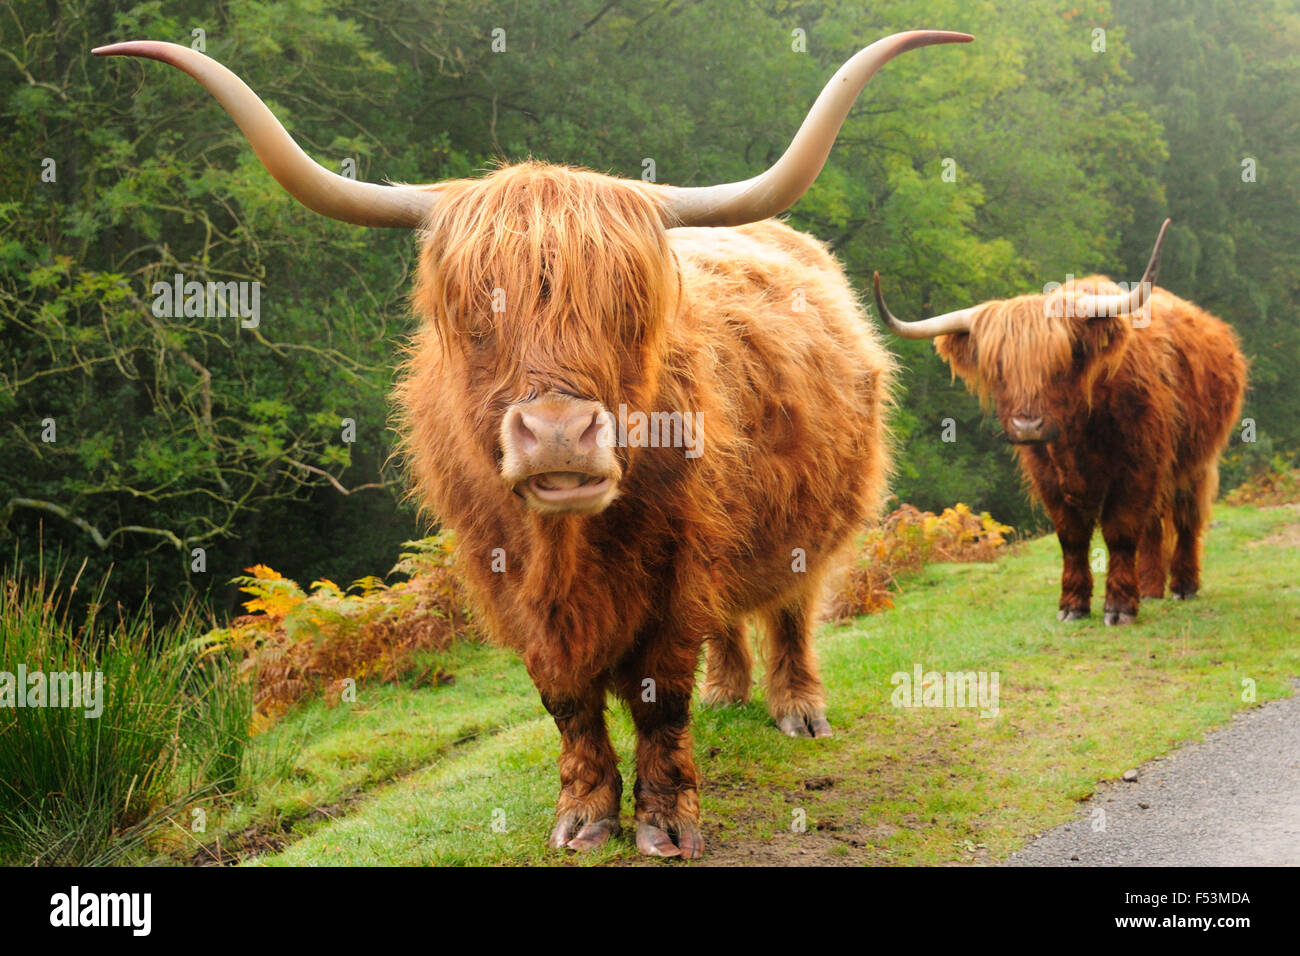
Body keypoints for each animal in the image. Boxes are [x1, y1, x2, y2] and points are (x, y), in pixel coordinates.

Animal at [98, 29, 977, 858]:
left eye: (630, 306)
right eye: (470, 311)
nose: (558, 434)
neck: (568, 550)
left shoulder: (678, 563)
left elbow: (662, 693)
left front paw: (667, 823)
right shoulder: (507, 581)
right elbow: (566, 700)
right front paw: (584, 818)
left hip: (815, 518)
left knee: (792, 609)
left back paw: (799, 711)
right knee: (731, 625)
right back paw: (731, 694)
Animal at [873, 222, 1248, 629]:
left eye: (1060, 364)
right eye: (1000, 369)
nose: (1027, 425)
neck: (1078, 434)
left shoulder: (1138, 467)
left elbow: (1121, 532)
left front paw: (1119, 607)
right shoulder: (1048, 476)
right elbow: (1072, 538)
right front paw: (1073, 604)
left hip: (1195, 461)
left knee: (1186, 518)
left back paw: (1183, 585)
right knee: (1154, 527)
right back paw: (1150, 587)